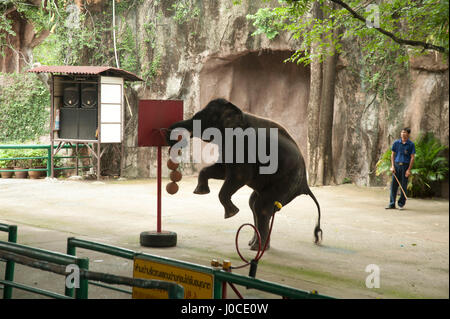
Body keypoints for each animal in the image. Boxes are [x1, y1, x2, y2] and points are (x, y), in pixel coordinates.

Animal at [167, 99, 322, 251]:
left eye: (200, 117)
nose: (170, 136)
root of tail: (305, 185)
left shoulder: (243, 146)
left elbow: (240, 175)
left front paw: (231, 214)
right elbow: (222, 170)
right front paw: (200, 192)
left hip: (287, 182)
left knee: (261, 206)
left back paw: (256, 247)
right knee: (254, 203)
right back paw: (257, 245)